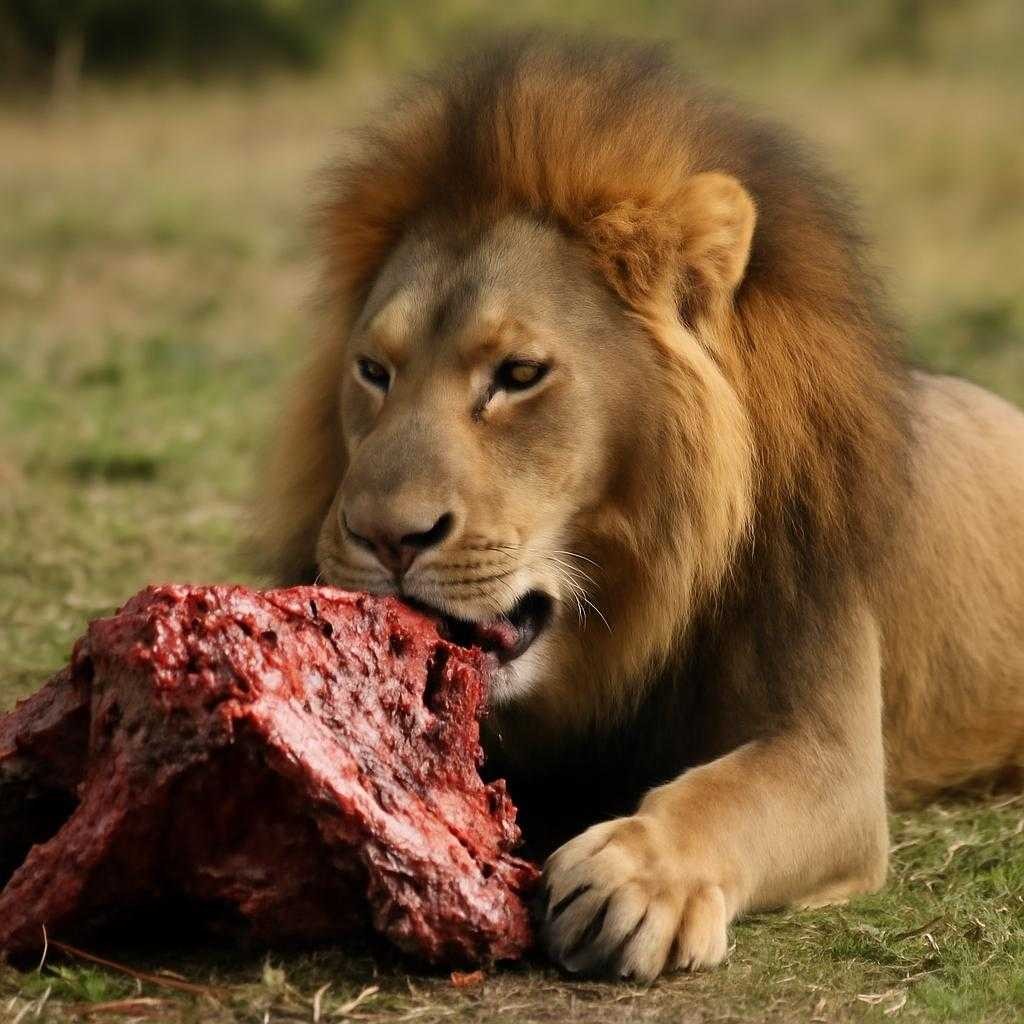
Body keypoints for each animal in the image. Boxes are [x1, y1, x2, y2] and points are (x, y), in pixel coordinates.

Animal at [259, 36, 1024, 980]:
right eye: (374, 371)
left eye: (518, 374)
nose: (384, 537)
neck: (622, 614)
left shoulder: (829, 752)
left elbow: (729, 794)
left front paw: (637, 877)